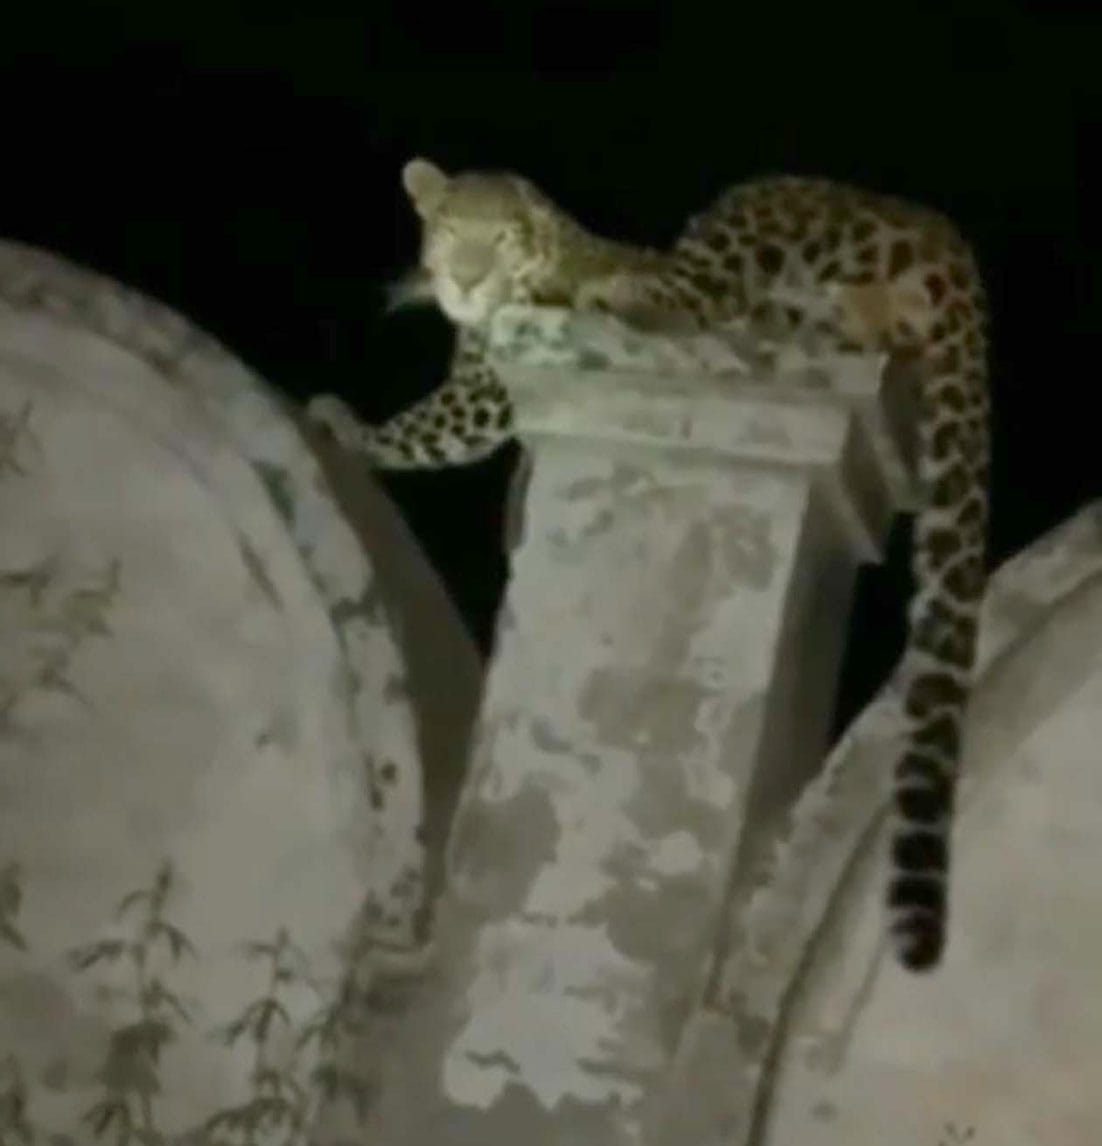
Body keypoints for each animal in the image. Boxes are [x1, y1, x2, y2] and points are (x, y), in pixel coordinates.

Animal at [308, 157, 990, 973]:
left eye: (499, 237)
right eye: (447, 228)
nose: (468, 279)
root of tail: (945, 236)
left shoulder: (481, 391)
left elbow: (423, 431)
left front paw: (344, 425)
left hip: (752, 212)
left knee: (697, 291)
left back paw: (634, 294)